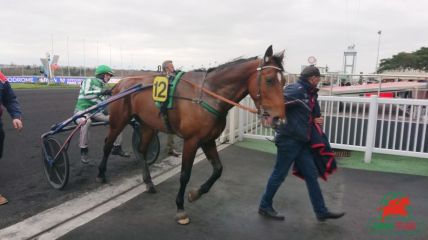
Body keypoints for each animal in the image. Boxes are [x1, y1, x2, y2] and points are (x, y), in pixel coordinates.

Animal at [100, 45, 286, 225]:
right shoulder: (191, 141)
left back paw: (149, 182)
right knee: (108, 144)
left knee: (142, 150)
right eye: (269, 80)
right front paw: (180, 208)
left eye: (283, 81)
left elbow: (218, 169)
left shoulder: (208, 140)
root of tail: (121, 83)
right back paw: (101, 175)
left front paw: (195, 194)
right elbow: (185, 175)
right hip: (119, 121)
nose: (279, 118)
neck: (207, 94)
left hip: (148, 125)